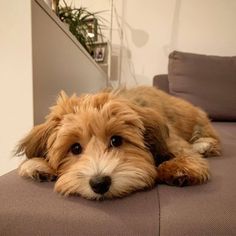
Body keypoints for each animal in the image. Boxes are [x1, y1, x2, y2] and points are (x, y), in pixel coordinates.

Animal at [16, 86, 221, 199]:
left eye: (116, 140)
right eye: (75, 148)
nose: (99, 183)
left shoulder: (173, 140)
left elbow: (184, 153)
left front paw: (178, 167)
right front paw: (38, 165)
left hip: (197, 119)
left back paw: (203, 145)